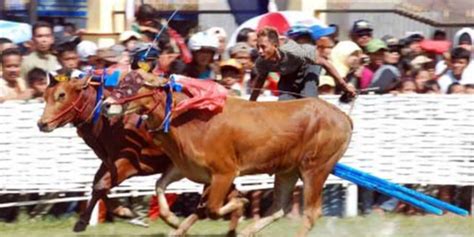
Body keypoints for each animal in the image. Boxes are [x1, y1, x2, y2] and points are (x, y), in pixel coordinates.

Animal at [105, 74, 354, 237]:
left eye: (134, 84)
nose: (106, 104)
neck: (187, 117)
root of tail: (342, 116)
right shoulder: (185, 167)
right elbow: (160, 186)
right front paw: (174, 220)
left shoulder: (224, 172)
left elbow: (214, 208)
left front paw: (240, 201)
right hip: (287, 170)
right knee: (278, 208)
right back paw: (246, 232)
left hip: (315, 168)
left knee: (311, 213)